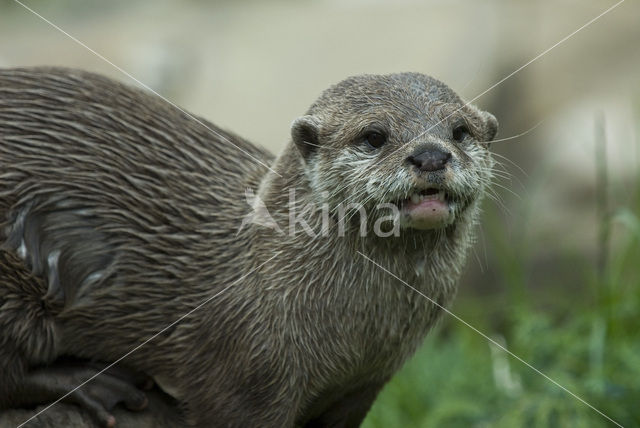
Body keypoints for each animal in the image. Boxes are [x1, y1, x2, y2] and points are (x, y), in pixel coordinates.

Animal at [0, 66, 498, 424]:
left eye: (459, 131)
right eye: (374, 136)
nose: (431, 155)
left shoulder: (364, 386)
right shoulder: (242, 377)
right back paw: (96, 385)